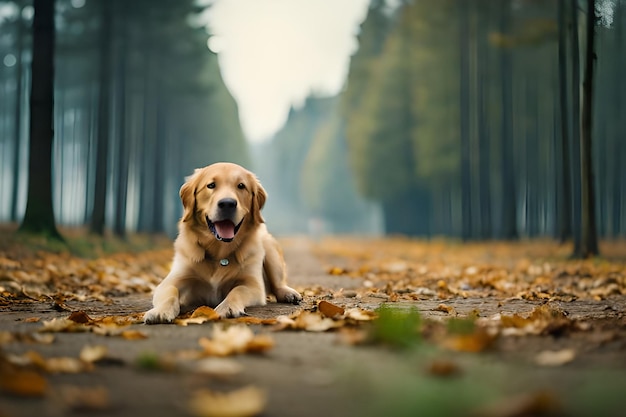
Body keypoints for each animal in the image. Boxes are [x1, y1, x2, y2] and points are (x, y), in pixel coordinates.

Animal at [144, 161, 300, 324]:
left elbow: (237, 290)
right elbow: (170, 292)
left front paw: (228, 307)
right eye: (211, 185)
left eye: (241, 186)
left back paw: (289, 293)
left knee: (278, 283)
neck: (219, 252)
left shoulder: (253, 285)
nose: (227, 203)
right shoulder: (171, 280)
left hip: (269, 249)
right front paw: (160, 311)